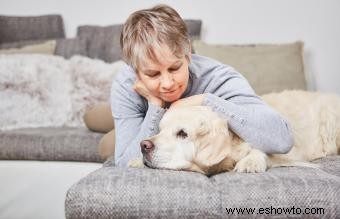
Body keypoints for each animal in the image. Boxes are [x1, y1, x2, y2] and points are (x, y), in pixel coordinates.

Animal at [128, 90, 340, 175]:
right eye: (160, 129)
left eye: (182, 133)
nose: (144, 146)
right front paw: (136, 160)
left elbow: (260, 150)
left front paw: (250, 162)